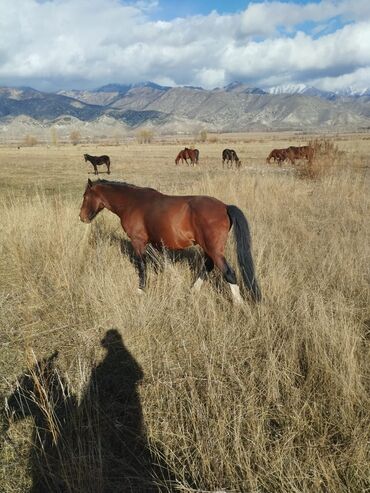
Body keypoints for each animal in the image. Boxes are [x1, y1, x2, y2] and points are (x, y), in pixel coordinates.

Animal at [79, 179, 262, 302]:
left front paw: (141, 290)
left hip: (213, 249)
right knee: (208, 266)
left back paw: (239, 304)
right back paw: (193, 291)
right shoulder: (155, 244)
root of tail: (224, 206)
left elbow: (142, 266)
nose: (82, 217)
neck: (132, 202)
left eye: (85, 196)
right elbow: (162, 265)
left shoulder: (138, 242)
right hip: (208, 248)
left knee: (228, 273)